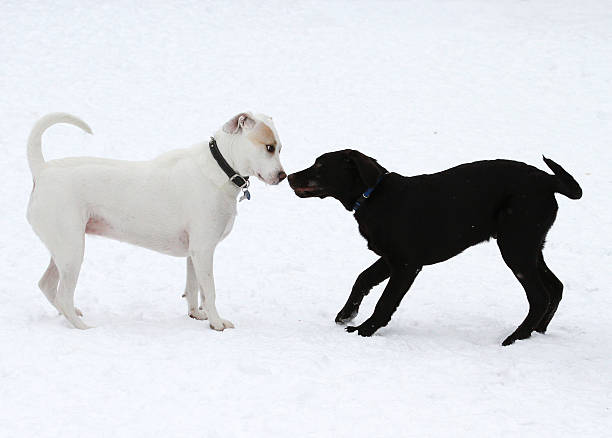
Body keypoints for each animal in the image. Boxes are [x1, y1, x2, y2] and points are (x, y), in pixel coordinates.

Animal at [26, 111, 286, 330]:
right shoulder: (203, 250)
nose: (283, 176)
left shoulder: (194, 253)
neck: (221, 168)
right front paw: (217, 323)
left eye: (280, 149)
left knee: (46, 285)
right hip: (72, 251)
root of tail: (43, 170)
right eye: (269, 147)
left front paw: (197, 314)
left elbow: (194, 288)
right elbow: (210, 291)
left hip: (63, 250)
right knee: (62, 294)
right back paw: (83, 327)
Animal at [288, 151, 584, 346]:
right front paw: (346, 315)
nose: (289, 176)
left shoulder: (406, 265)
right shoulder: (390, 259)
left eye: (320, 166)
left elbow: (386, 301)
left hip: (516, 246)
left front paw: (365, 330)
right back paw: (538, 332)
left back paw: (515, 338)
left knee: (539, 296)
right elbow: (362, 278)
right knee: (555, 287)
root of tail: (547, 180)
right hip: (529, 246)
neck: (373, 197)